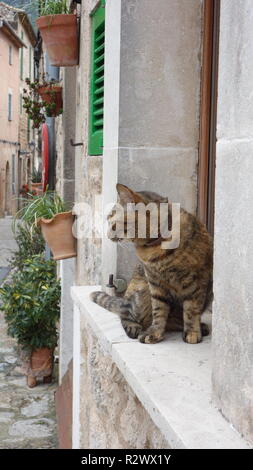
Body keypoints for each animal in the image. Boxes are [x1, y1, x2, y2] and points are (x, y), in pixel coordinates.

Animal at [90, 185, 212, 346]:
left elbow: (192, 309)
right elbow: (158, 310)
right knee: (126, 312)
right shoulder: (155, 282)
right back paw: (133, 326)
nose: (108, 236)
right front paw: (155, 333)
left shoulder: (198, 279)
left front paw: (192, 331)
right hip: (140, 289)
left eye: (114, 224)